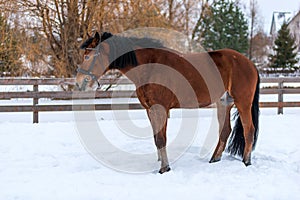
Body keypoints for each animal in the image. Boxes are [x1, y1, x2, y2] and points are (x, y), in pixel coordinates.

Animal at [75, 31, 260, 173]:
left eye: (89, 56)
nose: (79, 82)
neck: (150, 66)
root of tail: (250, 64)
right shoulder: (150, 110)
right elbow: (156, 138)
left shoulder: (161, 108)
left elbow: (161, 139)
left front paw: (164, 168)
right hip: (224, 103)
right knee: (225, 131)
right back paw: (214, 159)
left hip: (243, 103)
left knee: (249, 130)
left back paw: (246, 162)